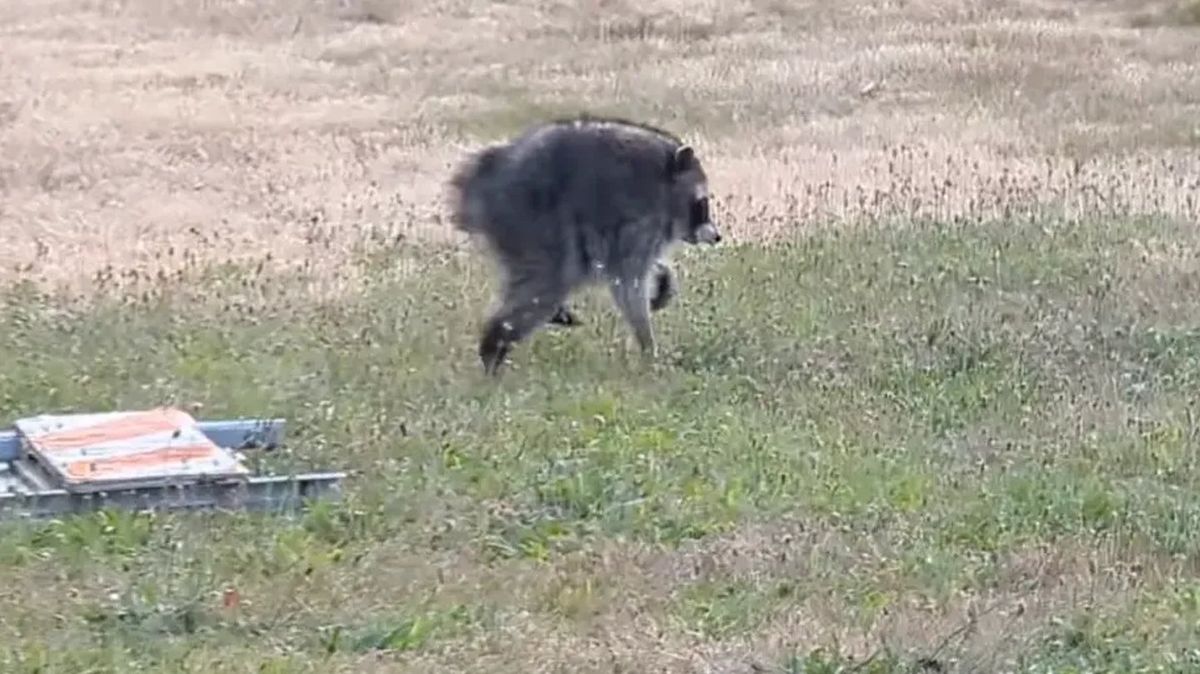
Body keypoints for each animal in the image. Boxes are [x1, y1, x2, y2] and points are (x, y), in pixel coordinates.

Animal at [447, 114, 721, 376]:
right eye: (703, 204)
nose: (717, 237)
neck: (666, 179)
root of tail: (483, 177)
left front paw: (664, 277)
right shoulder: (639, 221)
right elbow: (627, 283)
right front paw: (647, 345)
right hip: (530, 220)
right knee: (544, 286)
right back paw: (494, 345)